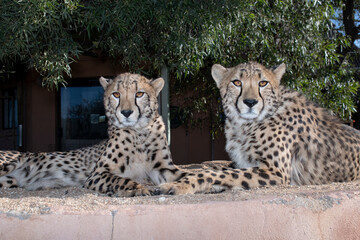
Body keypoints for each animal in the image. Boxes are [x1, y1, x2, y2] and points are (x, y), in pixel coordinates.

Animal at [0, 73, 186, 197]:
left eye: (139, 94)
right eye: (116, 94)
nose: (126, 113)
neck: (138, 133)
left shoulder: (164, 168)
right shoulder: (97, 174)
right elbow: (121, 179)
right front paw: (137, 188)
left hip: (10, 179)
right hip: (12, 162)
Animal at [160, 61, 360, 194]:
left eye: (263, 83)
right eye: (237, 82)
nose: (250, 102)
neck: (245, 125)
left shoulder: (276, 171)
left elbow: (215, 172)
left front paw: (179, 185)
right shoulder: (243, 163)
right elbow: (219, 170)